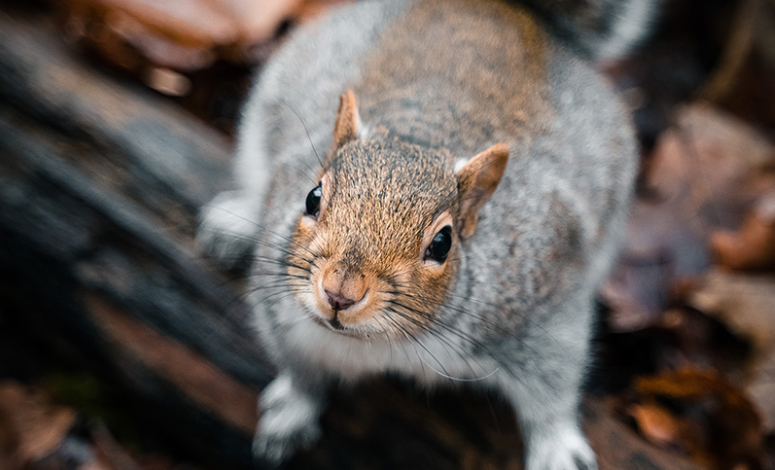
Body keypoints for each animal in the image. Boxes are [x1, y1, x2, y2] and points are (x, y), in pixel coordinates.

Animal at [198, 0, 654, 468]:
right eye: (311, 197)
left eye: (442, 243)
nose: (340, 293)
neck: (382, 341)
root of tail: (503, 11)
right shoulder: (283, 316)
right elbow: (300, 370)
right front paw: (292, 408)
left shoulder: (544, 305)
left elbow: (554, 388)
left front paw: (558, 447)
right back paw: (236, 221)